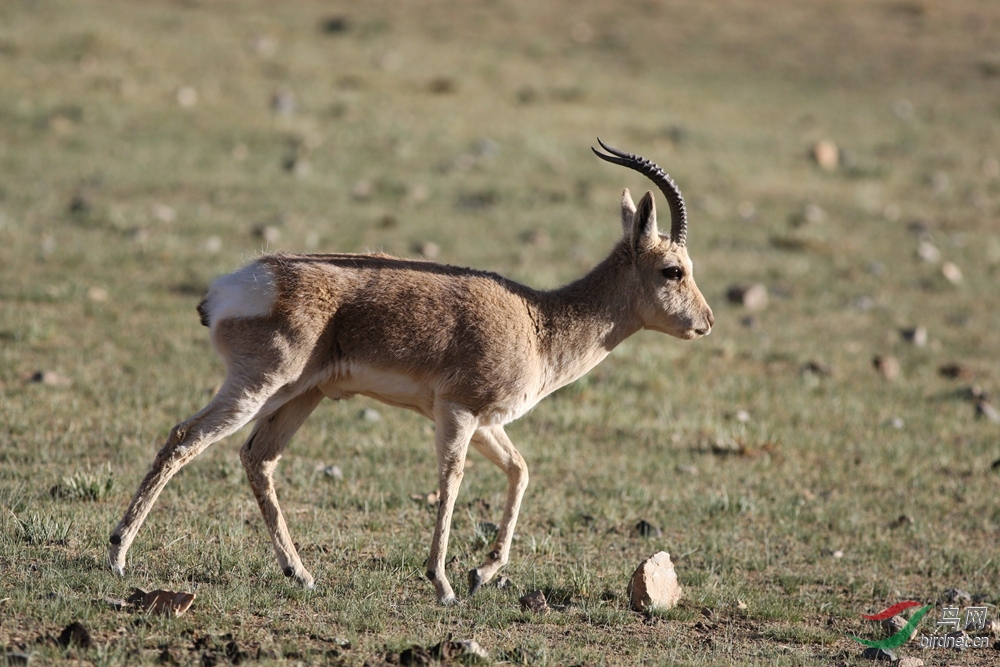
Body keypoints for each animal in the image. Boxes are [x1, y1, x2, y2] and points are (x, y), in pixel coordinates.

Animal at [109, 141, 716, 604]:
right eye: (673, 269)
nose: (706, 322)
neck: (537, 322)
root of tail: (236, 283)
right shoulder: (458, 412)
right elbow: (451, 483)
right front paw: (443, 583)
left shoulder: (487, 421)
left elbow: (521, 471)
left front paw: (481, 572)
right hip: (257, 388)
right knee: (184, 438)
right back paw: (116, 557)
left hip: (302, 397)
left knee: (258, 459)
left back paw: (300, 574)